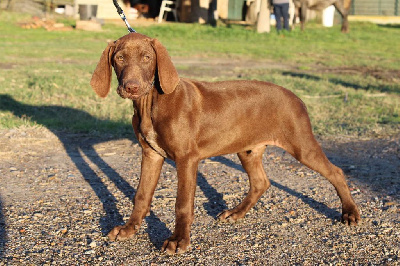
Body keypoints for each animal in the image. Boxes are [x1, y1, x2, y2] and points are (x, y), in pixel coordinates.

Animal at [92, 32, 360, 254]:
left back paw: (350, 212)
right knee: (261, 182)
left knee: (336, 172)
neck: (150, 103)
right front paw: (129, 228)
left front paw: (179, 240)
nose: (132, 87)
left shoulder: (186, 158)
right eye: (119, 58)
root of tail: (297, 98)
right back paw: (236, 213)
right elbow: (141, 195)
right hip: (248, 149)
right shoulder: (151, 154)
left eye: (147, 57)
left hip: (301, 145)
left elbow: (182, 203)